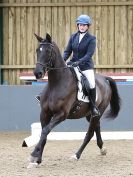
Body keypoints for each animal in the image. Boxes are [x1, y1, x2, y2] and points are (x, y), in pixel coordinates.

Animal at [27, 33, 121, 169]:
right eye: (37, 50)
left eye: (48, 51)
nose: (37, 73)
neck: (56, 83)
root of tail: (104, 78)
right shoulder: (44, 113)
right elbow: (43, 134)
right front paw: (37, 160)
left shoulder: (61, 114)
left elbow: (45, 131)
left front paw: (34, 154)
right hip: (90, 114)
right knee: (96, 127)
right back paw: (102, 148)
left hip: (99, 110)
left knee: (89, 134)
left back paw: (76, 155)